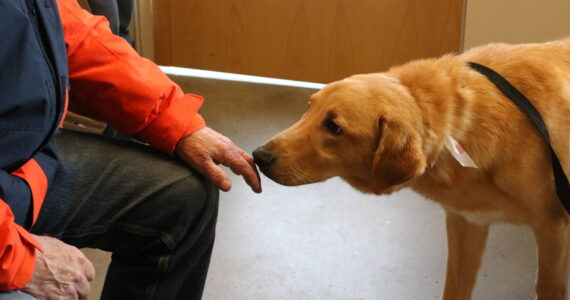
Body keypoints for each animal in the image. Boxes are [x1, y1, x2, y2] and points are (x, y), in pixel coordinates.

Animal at [253, 39, 568, 300]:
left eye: (334, 127)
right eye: (309, 108)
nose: (258, 156)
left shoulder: (552, 228)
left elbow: (548, 287)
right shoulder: (468, 222)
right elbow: (456, 286)